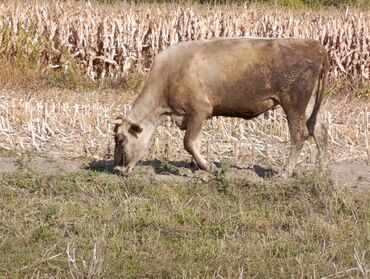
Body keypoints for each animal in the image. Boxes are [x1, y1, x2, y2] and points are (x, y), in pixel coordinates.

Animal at [111, 37, 328, 178]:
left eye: (121, 140)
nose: (116, 169)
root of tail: (313, 44)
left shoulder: (199, 110)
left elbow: (189, 142)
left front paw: (208, 168)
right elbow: (194, 142)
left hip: (293, 102)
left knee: (299, 135)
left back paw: (284, 173)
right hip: (308, 105)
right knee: (319, 131)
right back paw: (321, 170)